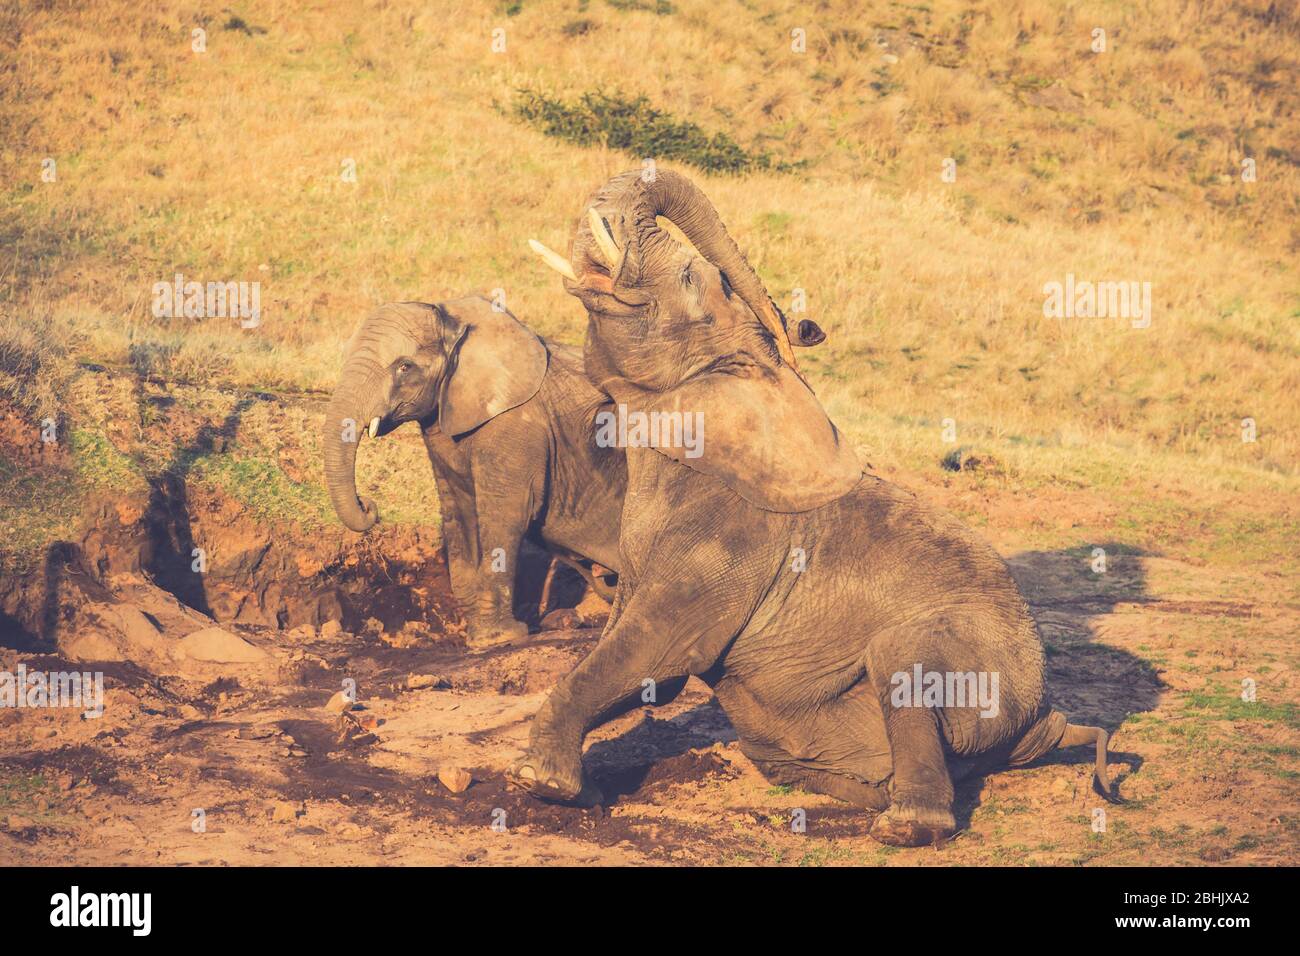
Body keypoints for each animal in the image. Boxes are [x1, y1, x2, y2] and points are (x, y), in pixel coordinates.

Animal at [325, 295, 629, 647]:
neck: (457, 323)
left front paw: (500, 637)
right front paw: (480, 636)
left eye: (405, 366)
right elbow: (459, 512)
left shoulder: (515, 425)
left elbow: (506, 514)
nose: (368, 504)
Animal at [509, 170, 1118, 842]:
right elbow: (643, 670)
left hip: (985, 665)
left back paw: (903, 827)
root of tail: (1044, 723)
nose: (804, 328)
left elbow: (657, 654)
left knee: (901, 658)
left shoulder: (726, 548)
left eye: (692, 280)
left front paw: (540, 785)